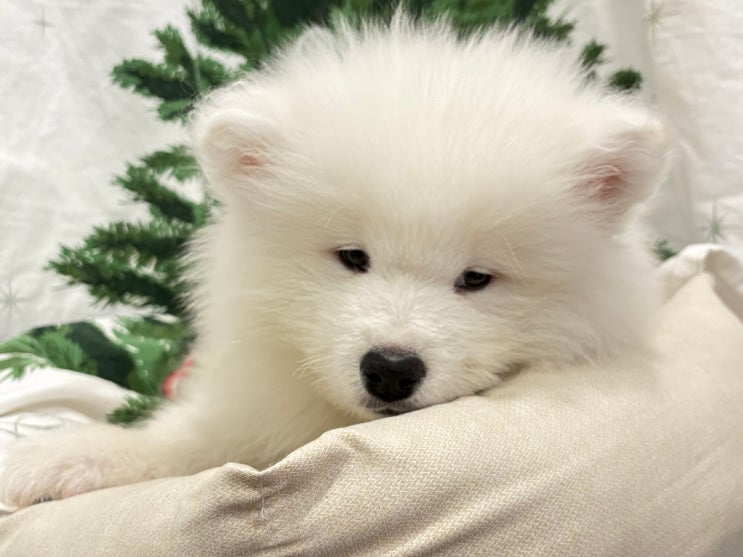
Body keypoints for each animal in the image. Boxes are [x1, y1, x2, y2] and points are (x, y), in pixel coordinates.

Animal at [0, 14, 668, 507]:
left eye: (477, 278)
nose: (391, 369)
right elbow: (179, 441)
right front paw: (55, 461)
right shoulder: (245, 408)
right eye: (352, 257)